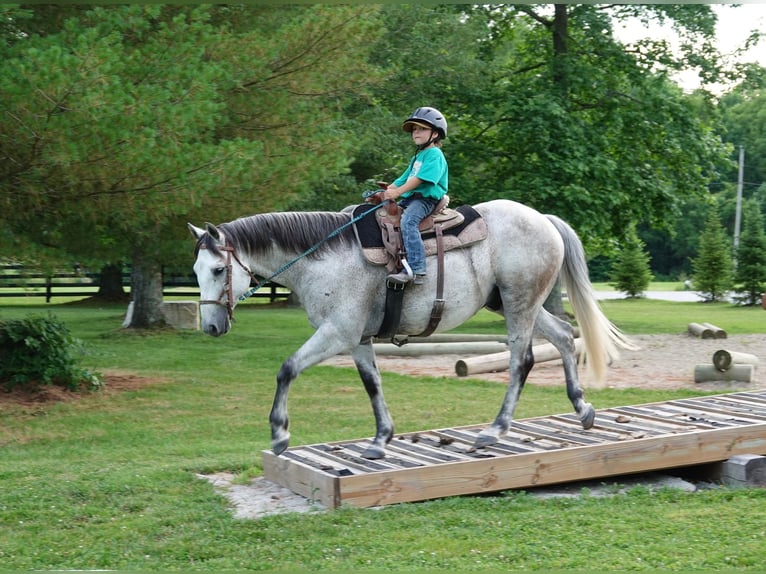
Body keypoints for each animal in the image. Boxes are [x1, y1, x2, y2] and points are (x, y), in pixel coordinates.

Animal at [188, 199, 634, 460]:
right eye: (195, 271)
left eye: (218, 270)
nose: (210, 325)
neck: (324, 258)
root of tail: (543, 219)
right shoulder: (358, 339)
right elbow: (372, 384)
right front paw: (380, 438)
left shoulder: (338, 333)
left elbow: (287, 369)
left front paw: (280, 434)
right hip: (518, 304)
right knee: (561, 336)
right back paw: (583, 409)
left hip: (519, 304)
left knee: (521, 360)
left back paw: (494, 431)